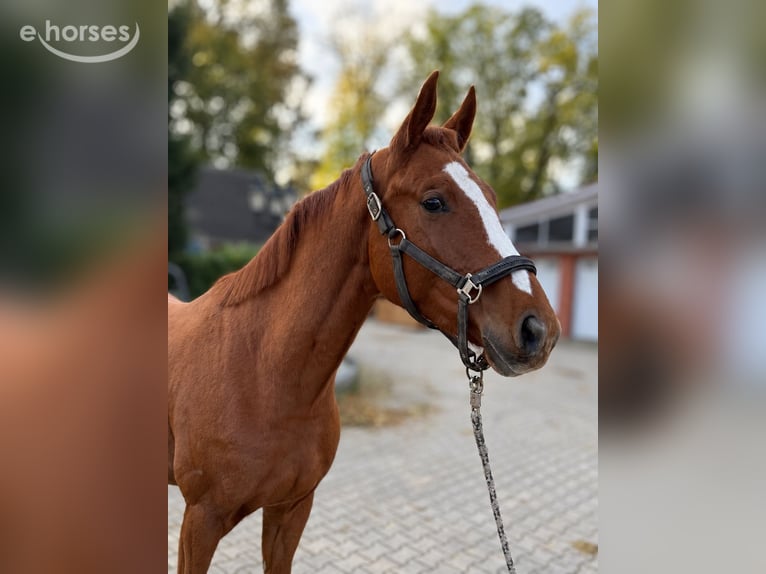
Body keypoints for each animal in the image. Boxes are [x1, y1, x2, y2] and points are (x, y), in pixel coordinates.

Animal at [168, 71, 560, 573]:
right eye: (434, 201)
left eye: (491, 198)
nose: (539, 331)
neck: (262, 373)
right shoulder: (200, 522)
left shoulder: (291, 511)